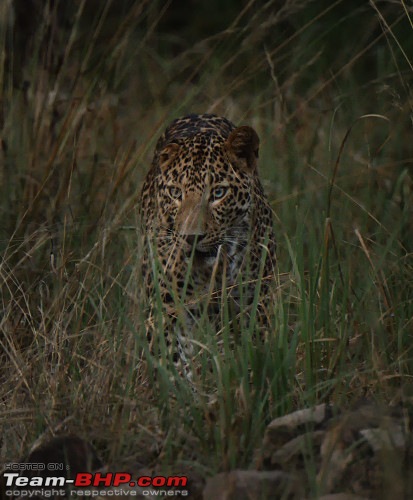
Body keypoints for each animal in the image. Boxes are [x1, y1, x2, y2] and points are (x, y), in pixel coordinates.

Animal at [139, 112, 276, 378]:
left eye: (219, 193)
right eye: (175, 193)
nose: (191, 237)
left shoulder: (255, 304)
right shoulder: (166, 308)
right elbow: (171, 360)